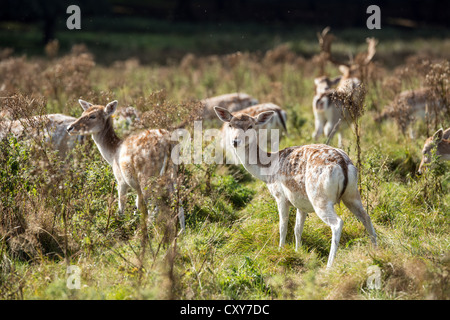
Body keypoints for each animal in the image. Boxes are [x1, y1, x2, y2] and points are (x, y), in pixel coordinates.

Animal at [66, 99, 185, 230]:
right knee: (178, 201)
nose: (69, 128)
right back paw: (181, 231)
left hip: (146, 176)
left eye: (93, 116)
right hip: (173, 172)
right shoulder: (136, 187)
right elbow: (137, 206)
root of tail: (168, 143)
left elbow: (121, 207)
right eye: (83, 113)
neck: (112, 154)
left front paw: (119, 225)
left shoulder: (121, 180)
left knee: (154, 207)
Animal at [214, 106, 376, 268]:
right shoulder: (300, 201)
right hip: (352, 194)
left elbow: (283, 226)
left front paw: (280, 250)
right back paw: (376, 249)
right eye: (230, 125)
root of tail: (343, 163)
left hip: (320, 198)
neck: (267, 171)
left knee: (337, 223)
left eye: (250, 126)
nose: (235, 141)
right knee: (366, 217)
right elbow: (298, 228)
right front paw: (298, 251)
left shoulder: (280, 196)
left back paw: (329, 265)